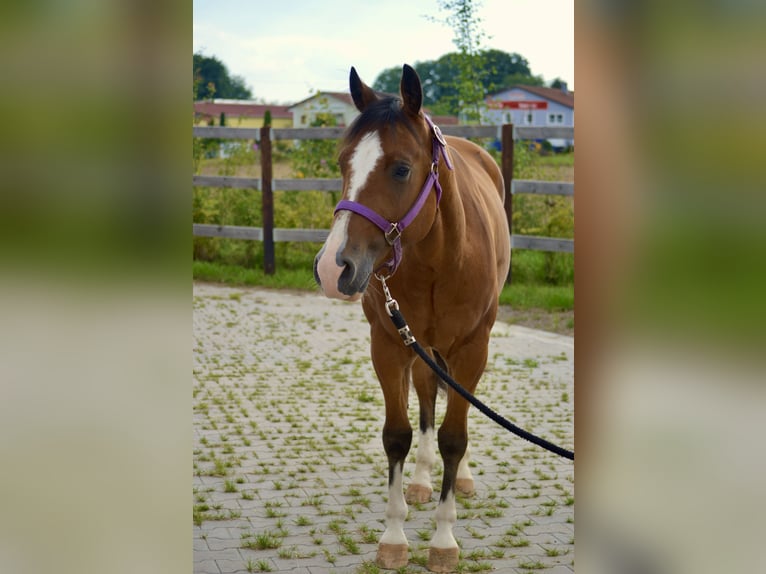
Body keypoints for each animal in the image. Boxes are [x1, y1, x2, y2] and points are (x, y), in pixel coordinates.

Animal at [313, 64, 510, 572]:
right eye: (343, 164)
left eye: (401, 168)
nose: (333, 268)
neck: (439, 259)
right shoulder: (388, 344)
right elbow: (398, 435)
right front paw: (394, 535)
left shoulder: (473, 349)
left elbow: (455, 437)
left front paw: (443, 541)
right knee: (425, 396)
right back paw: (422, 482)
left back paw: (460, 480)